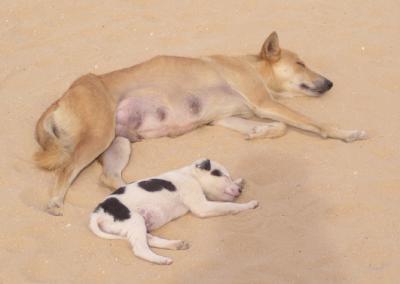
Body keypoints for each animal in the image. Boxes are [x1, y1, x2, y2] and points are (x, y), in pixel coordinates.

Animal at [36, 32, 368, 214]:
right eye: (300, 64)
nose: (329, 83)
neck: (251, 66)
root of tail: (65, 94)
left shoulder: (227, 118)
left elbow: (279, 127)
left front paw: (258, 132)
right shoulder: (263, 102)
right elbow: (314, 123)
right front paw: (347, 133)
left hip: (119, 143)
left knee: (109, 177)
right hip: (99, 137)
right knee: (66, 169)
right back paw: (54, 202)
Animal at [89, 159, 260, 266]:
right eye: (224, 177)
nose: (239, 191)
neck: (191, 175)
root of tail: (97, 213)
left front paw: (240, 182)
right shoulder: (202, 207)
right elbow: (230, 205)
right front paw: (248, 204)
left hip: (136, 225)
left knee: (149, 240)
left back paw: (175, 245)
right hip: (134, 220)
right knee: (140, 249)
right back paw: (161, 260)